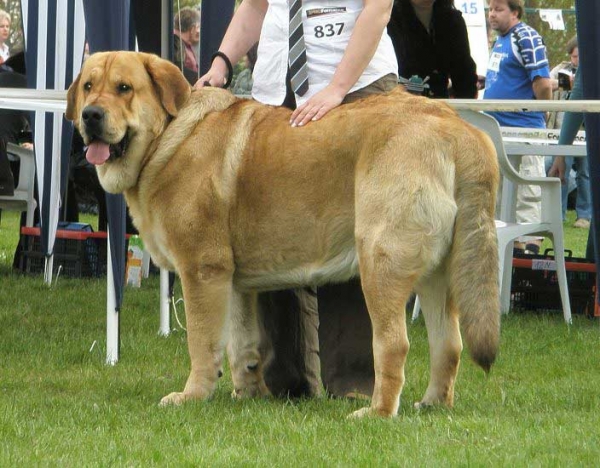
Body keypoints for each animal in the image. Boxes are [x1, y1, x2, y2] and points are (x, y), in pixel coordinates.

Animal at [67, 52, 502, 420]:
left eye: (124, 87)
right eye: (88, 86)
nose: (90, 115)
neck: (168, 136)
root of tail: (458, 128)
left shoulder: (202, 271)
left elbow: (203, 344)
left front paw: (192, 396)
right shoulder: (235, 282)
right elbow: (241, 343)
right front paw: (247, 393)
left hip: (382, 262)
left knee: (394, 344)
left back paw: (376, 412)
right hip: (437, 275)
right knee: (448, 343)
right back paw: (432, 404)